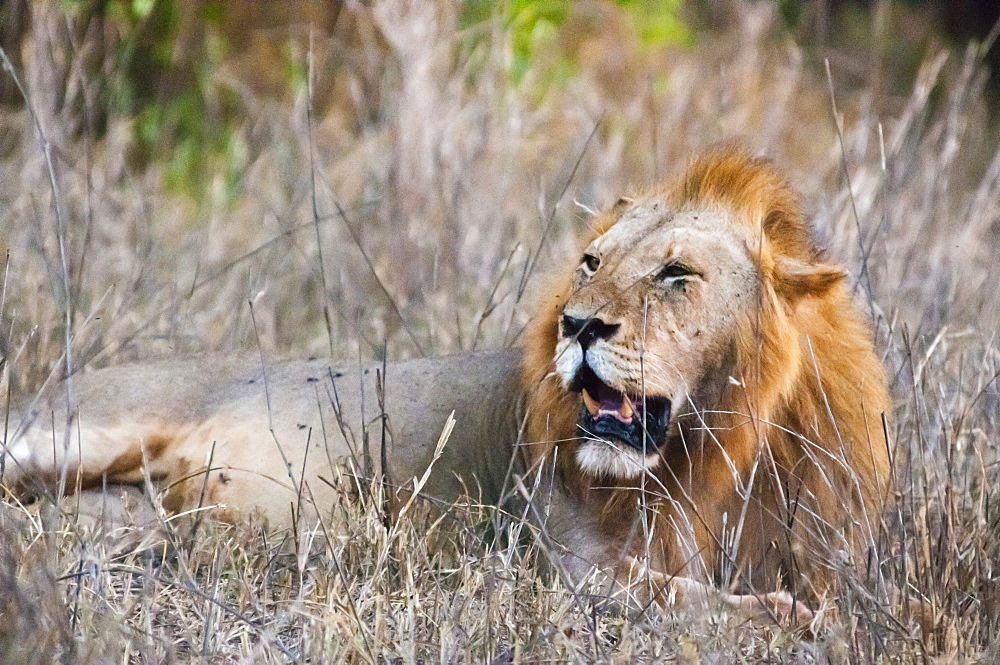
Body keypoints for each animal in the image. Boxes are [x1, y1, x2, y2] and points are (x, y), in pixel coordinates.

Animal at [1, 148, 892, 620]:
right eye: (591, 262)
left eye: (676, 274)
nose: (578, 325)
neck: (718, 448)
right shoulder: (558, 560)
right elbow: (682, 595)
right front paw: (779, 618)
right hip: (68, 429)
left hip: (128, 515)